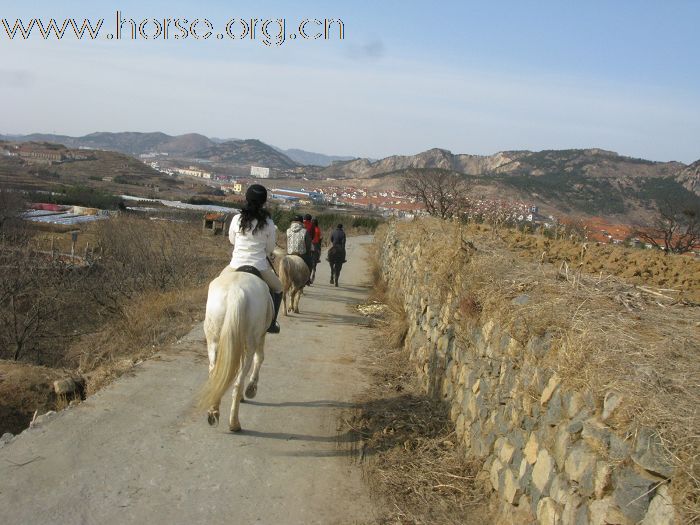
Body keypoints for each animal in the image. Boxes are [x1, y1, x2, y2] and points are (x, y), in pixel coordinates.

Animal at [200, 264, 274, 432]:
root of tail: (236, 292)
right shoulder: (261, 336)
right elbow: (260, 358)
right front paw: (251, 389)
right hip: (250, 344)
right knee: (239, 379)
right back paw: (234, 423)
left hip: (213, 341)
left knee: (214, 373)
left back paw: (213, 412)